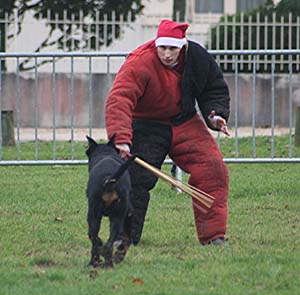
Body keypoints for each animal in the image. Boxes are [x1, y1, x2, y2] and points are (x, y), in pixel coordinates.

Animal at [85, 136, 135, 268]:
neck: (105, 153)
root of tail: (109, 179)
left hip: (95, 215)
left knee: (95, 239)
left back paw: (95, 261)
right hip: (117, 216)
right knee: (109, 243)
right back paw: (108, 262)